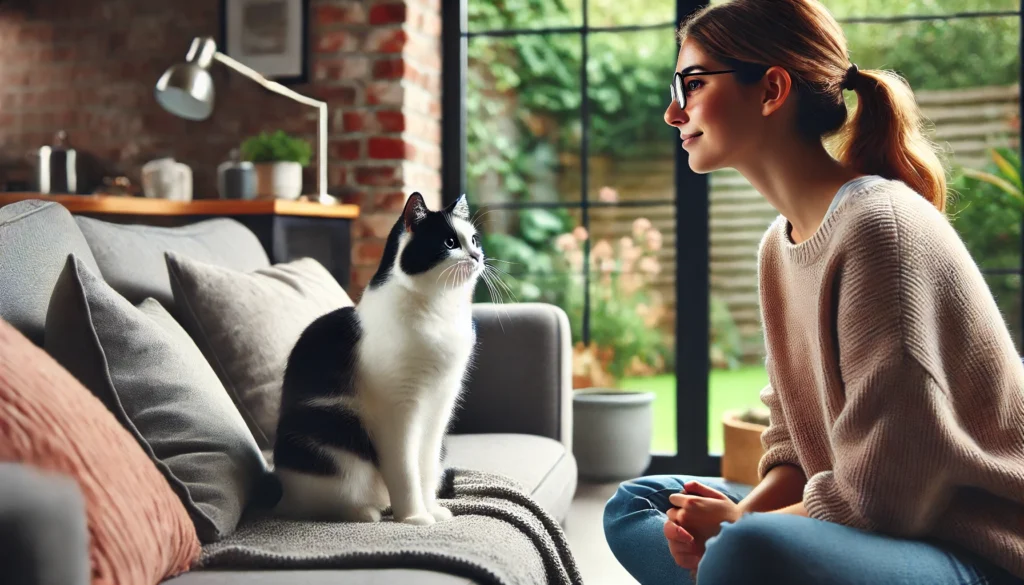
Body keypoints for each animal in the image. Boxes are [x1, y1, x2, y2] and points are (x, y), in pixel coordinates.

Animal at [268, 192, 483, 524]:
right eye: (449, 242)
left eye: (473, 239)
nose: (476, 255)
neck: (440, 309)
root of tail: (281, 497)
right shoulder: (398, 411)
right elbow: (405, 471)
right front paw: (414, 518)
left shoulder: (440, 404)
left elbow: (425, 466)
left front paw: (432, 510)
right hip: (336, 434)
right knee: (324, 503)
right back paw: (365, 512)